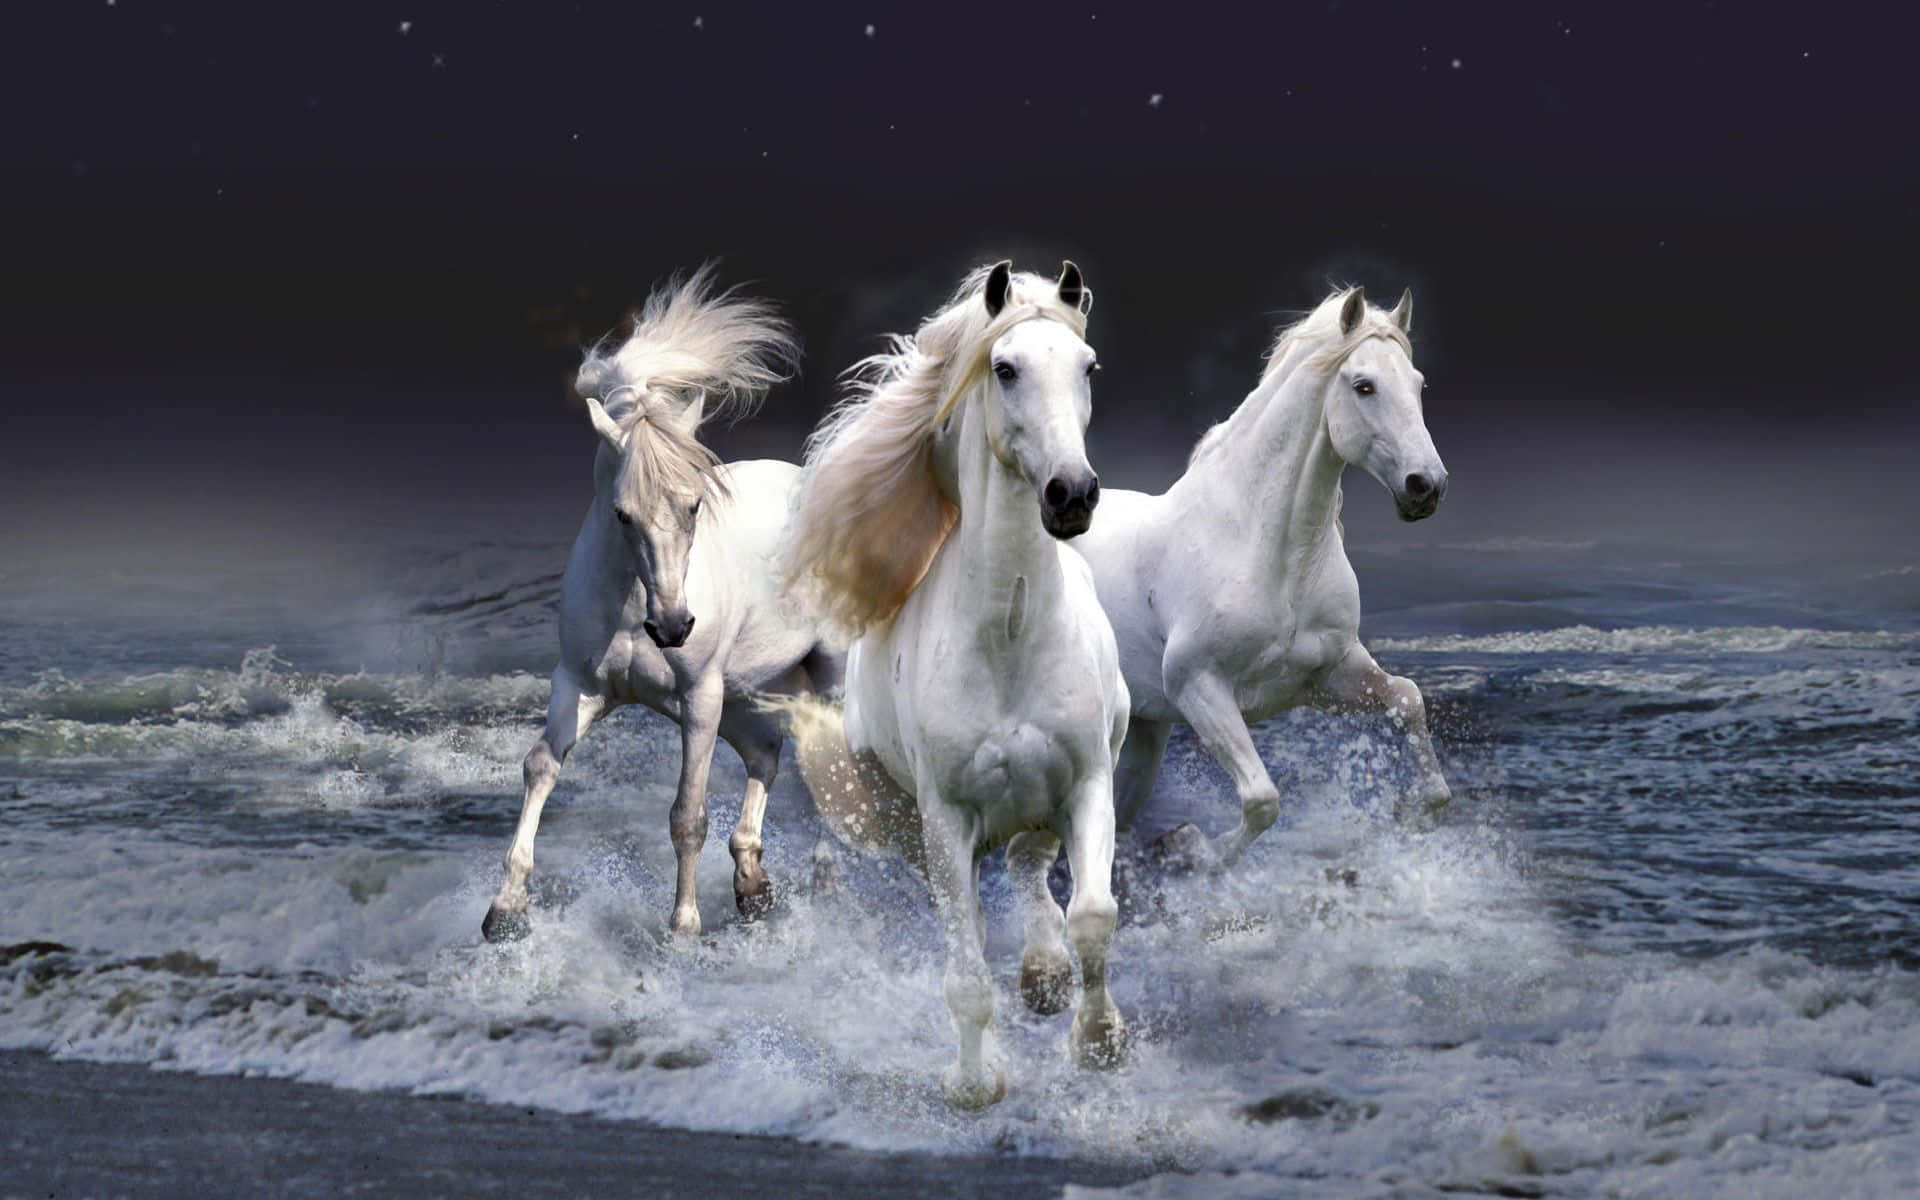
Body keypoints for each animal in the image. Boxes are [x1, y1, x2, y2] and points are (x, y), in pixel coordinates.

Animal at [481, 267, 842, 943]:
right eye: (623, 513)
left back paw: (824, 879)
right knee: (767, 754)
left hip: (819, 676)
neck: (631, 607)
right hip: (747, 692)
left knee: (832, 766)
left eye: (695, 504)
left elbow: (687, 814)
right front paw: (504, 911)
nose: (673, 627)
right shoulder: (580, 685)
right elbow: (540, 767)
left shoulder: (698, 698)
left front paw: (683, 930)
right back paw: (752, 885)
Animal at [776, 261, 1130, 1109]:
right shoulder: (945, 821)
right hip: (910, 825)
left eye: (1088, 367)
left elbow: (1093, 915)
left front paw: (1099, 1042)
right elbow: (966, 972)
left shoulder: (1087, 782)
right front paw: (975, 1084)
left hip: (1042, 801)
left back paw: (1045, 976)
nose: (1072, 494)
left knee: (1031, 867)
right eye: (1004, 369)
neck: (1010, 637)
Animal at [1071, 286, 1452, 866]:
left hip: (1143, 733)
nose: (1426, 486)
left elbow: (1408, 699)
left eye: (1418, 383)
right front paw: (1191, 849)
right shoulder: (1200, 688)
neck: (1270, 556)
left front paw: (1411, 813)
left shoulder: (1327, 677)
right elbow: (1262, 800)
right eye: (1364, 386)